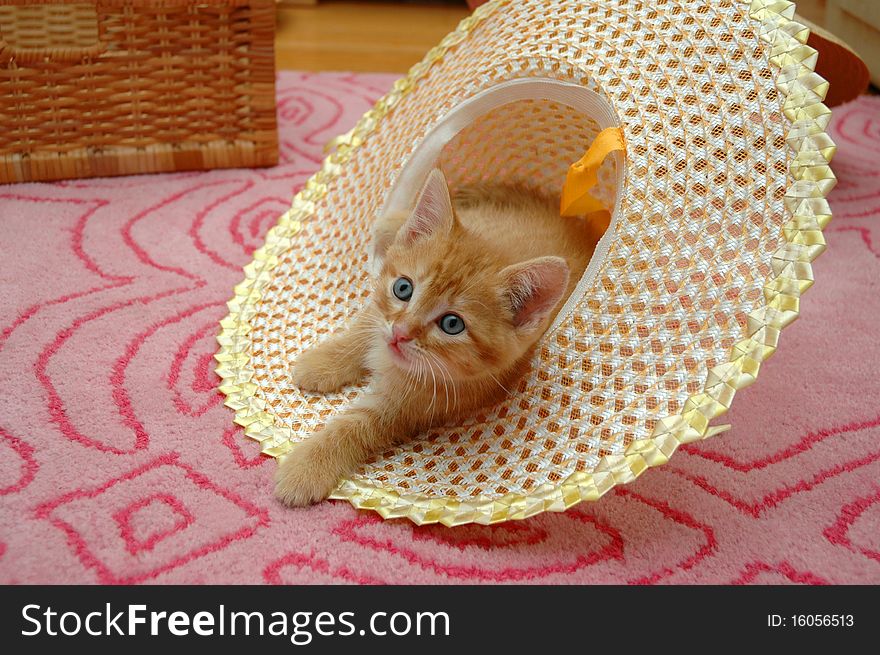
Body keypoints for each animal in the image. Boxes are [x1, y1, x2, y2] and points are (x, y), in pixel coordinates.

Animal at [276, 169, 600, 508]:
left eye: (452, 324)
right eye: (403, 288)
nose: (401, 333)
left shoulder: (409, 407)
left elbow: (357, 426)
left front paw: (307, 467)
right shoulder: (382, 315)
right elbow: (364, 327)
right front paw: (322, 363)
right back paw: (394, 223)